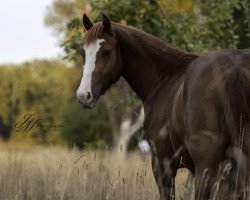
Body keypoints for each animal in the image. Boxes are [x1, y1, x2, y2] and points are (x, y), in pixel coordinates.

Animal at [76, 13, 250, 199]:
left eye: (107, 52)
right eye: (83, 52)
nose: (83, 96)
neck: (165, 78)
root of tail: (235, 68)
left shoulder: (162, 166)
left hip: (205, 170)